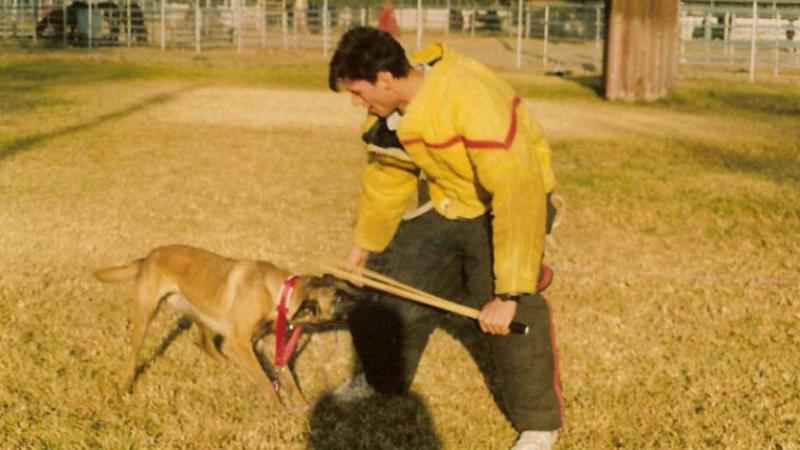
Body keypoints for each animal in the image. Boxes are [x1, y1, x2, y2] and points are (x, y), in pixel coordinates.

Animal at [92, 244, 352, 410]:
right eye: (339, 299)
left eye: (346, 287)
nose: (361, 298)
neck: (277, 291)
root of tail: (149, 256)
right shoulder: (240, 344)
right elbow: (265, 381)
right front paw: (280, 411)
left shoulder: (267, 345)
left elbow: (287, 379)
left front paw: (302, 406)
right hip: (146, 316)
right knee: (134, 355)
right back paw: (125, 386)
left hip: (201, 310)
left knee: (203, 341)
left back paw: (225, 364)